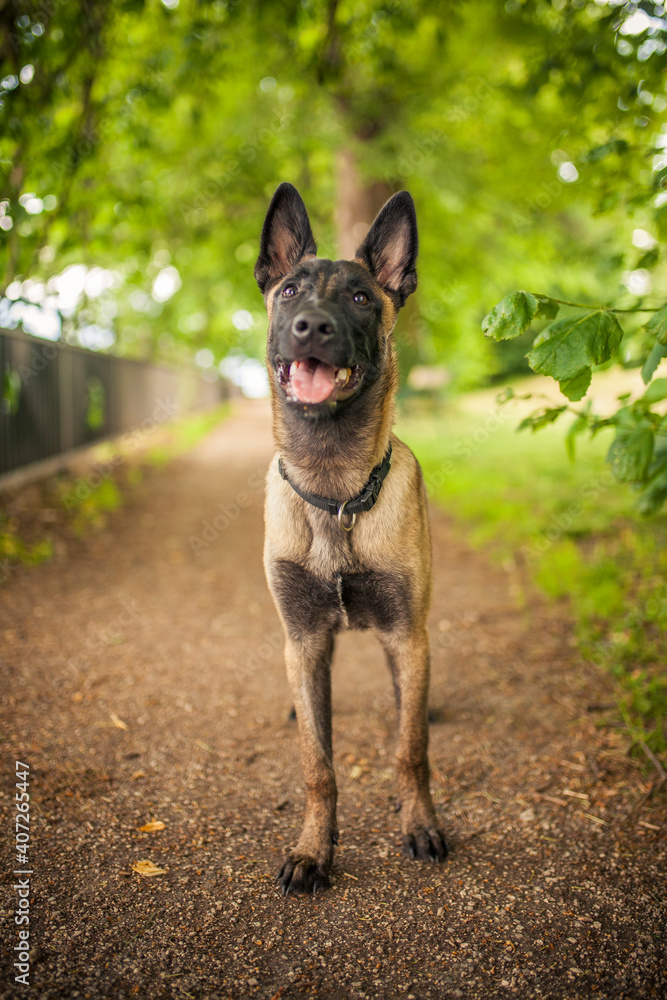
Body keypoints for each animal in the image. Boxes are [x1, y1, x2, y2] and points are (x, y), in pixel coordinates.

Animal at [256, 184, 448, 896]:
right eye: (289, 291)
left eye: (363, 298)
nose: (313, 326)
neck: (335, 492)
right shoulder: (306, 637)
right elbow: (318, 765)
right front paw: (313, 850)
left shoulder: (406, 634)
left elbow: (409, 750)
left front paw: (419, 824)